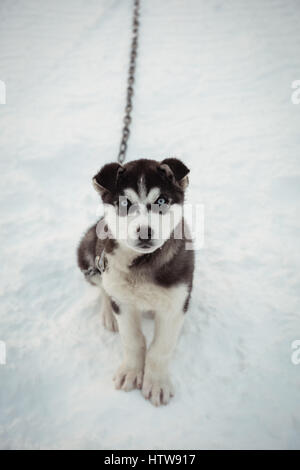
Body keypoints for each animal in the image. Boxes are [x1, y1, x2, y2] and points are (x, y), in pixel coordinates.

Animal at [77, 159, 195, 408]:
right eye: (124, 203)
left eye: (161, 201)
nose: (144, 232)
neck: (142, 263)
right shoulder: (122, 300)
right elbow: (132, 339)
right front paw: (131, 372)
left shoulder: (176, 303)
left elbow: (161, 347)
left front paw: (157, 383)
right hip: (88, 250)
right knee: (103, 288)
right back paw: (109, 315)